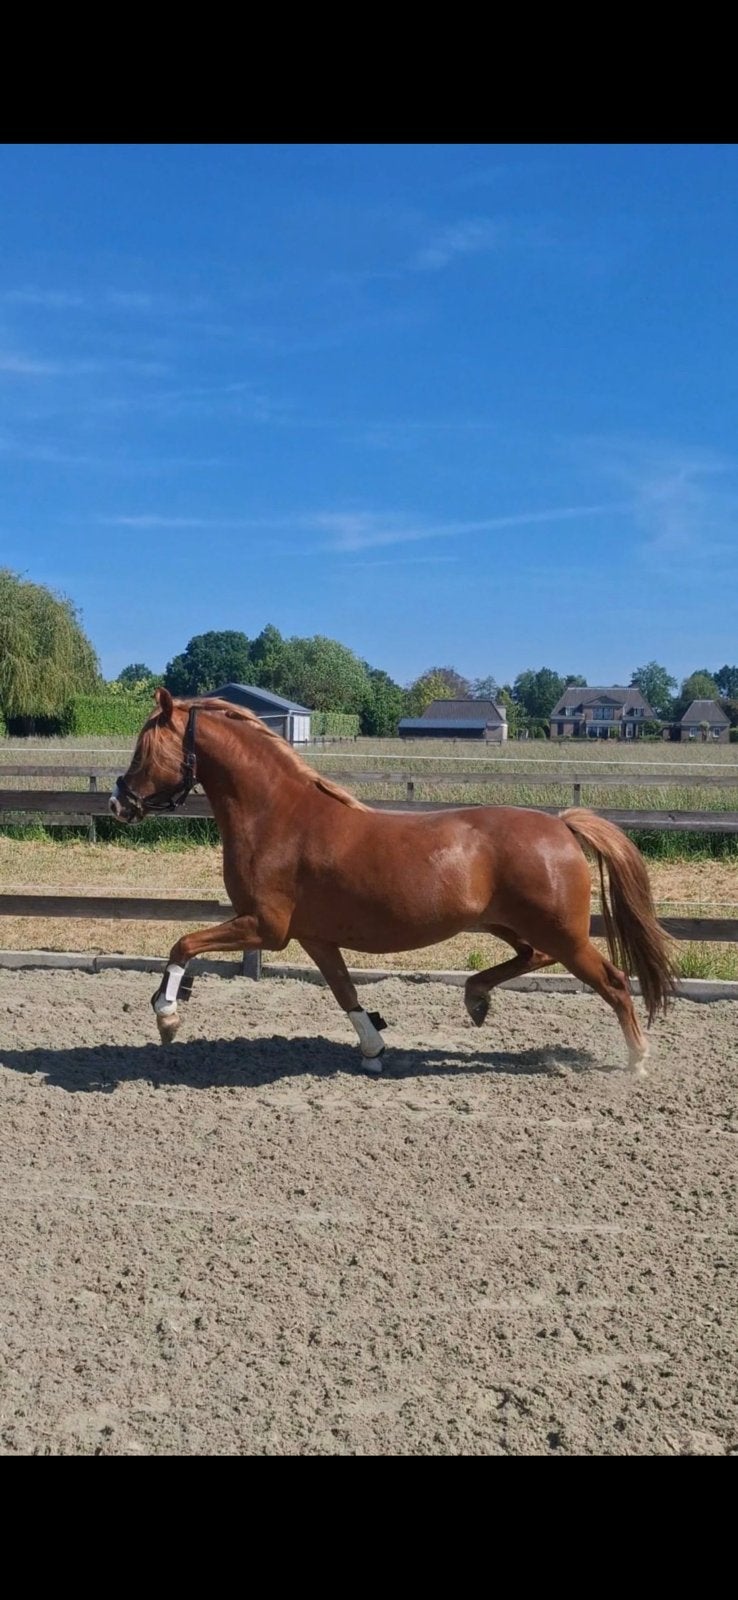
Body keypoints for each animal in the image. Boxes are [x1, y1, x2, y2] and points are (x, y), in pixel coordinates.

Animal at [110, 688, 676, 1075]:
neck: (278, 816)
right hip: (508, 924)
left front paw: (167, 1016)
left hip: (562, 933)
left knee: (613, 982)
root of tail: (561, 825)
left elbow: (183, 943)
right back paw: (476, 999)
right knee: (531, 957)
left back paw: (637, 1060)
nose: (118, 803)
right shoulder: (314, 937)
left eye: (145, 748)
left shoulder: (265, 928)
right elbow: (344, 992)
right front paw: (373, 1048)